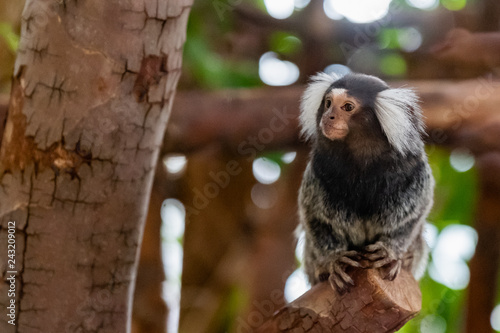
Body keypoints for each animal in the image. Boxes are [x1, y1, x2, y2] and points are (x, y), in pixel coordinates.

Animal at [296, 71, 434, 292]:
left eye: (347, 107)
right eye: (328, 103)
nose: (328, 116)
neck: (361, 157)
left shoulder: (413, 166)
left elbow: (415, 213)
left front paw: (390, 250)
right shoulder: (317, 168)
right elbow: (314, 216)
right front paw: (334, 259)